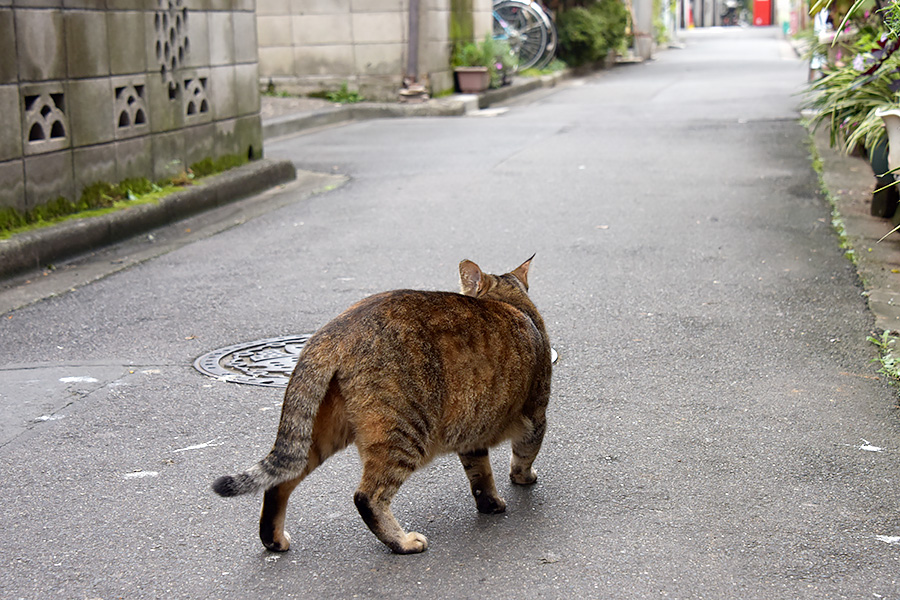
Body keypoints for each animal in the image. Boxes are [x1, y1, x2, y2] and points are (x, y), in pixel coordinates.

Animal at [213, 256, 548, 552]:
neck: (509, 302)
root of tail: (333, 331)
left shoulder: (472, 431)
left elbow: (480, 475)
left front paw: (489, 503)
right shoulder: (536, 414)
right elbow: (523, 454)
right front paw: (522, 479)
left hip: (319, 434)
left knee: (279, 482)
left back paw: (273, 540)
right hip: (404, 433)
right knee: (367, 496)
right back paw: (402, 542)